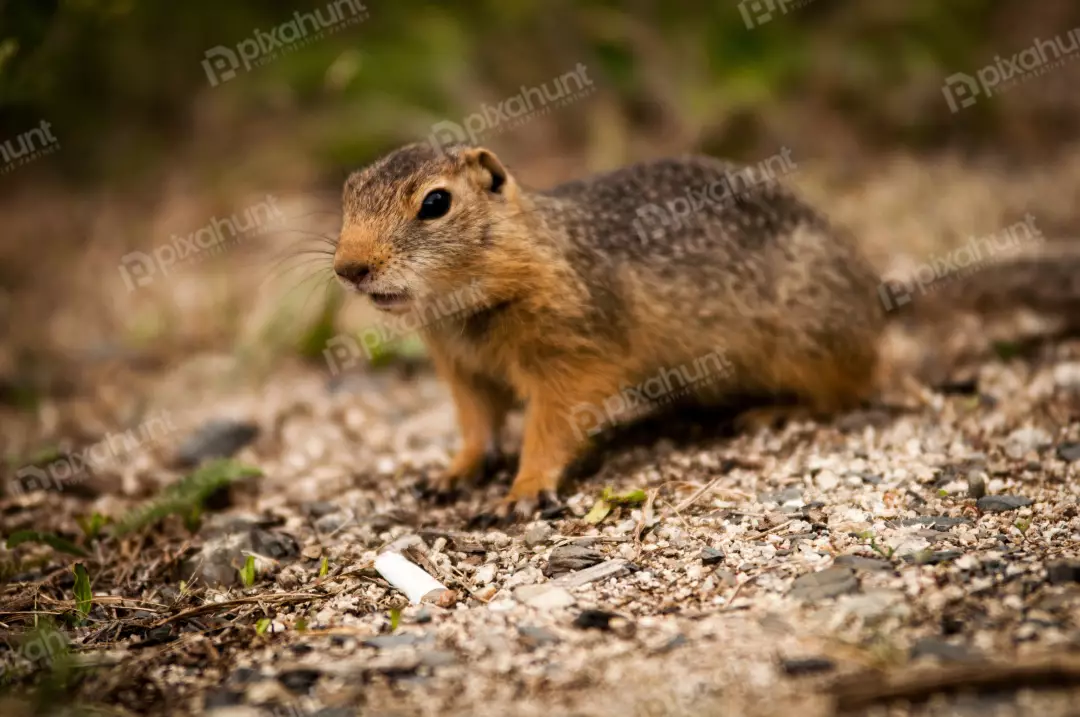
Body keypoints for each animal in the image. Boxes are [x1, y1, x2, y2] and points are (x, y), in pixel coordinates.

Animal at [334, 142, 1080, 511]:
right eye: (347, 193)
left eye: (435, 203)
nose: (348, 268)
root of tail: (875, 296)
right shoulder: (463, 373)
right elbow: (476, 427)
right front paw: (452, 475)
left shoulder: (572, 355)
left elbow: (550, 425)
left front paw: (523, 491)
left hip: (807, 347)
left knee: (853, 390)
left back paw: (771, 412)